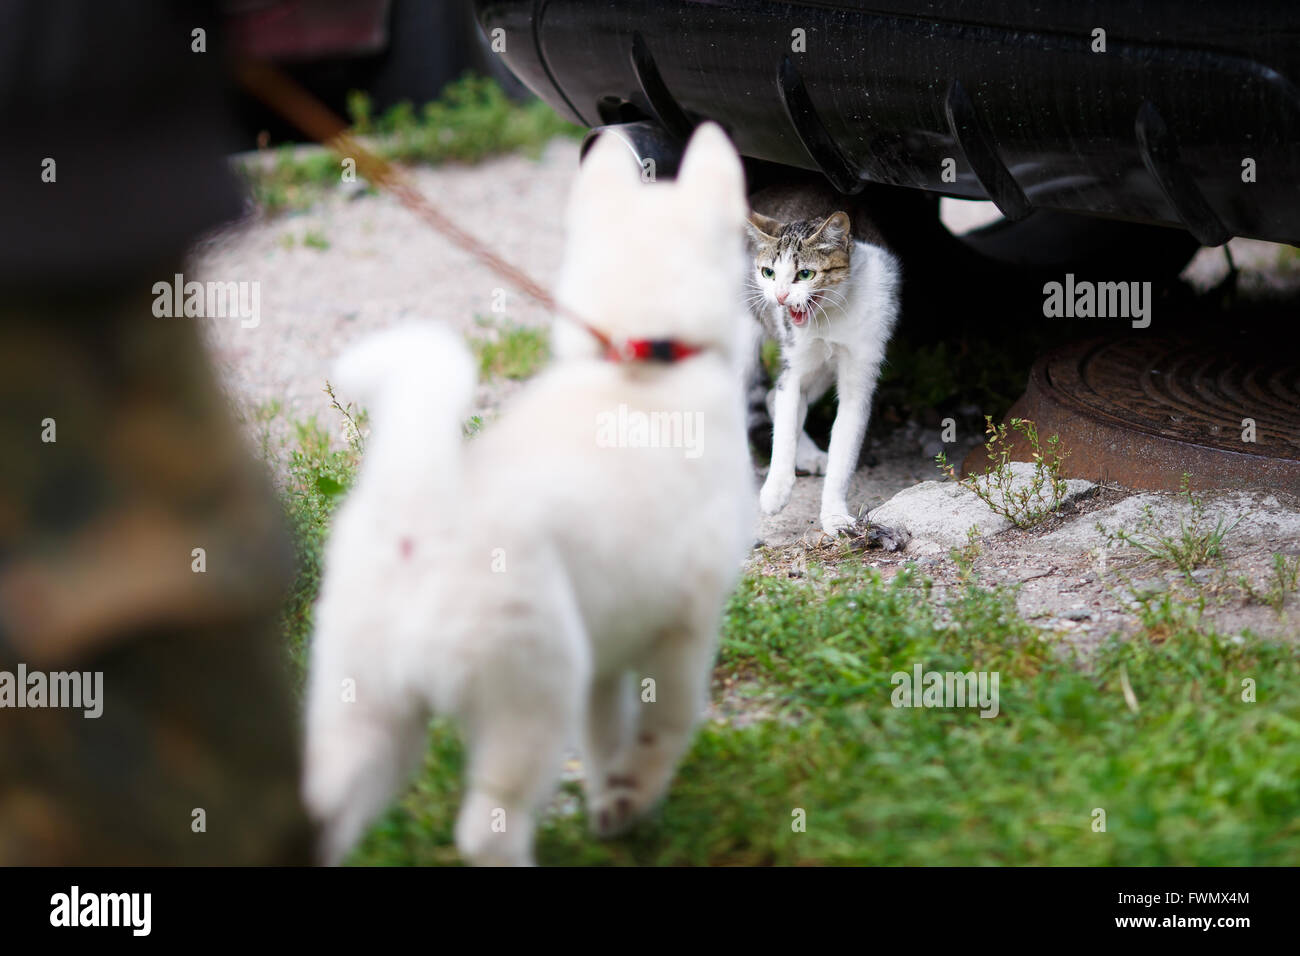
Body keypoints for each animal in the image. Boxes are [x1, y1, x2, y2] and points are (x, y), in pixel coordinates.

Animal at [300, 123, 759, 863]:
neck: (644, 362)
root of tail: (422, 517)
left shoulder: (609, 653)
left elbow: (605, 735)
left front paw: (613, 811)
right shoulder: (684, 625)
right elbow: (665, 725)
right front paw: (635, 794)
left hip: (365, 712)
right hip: (534, 686)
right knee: (489, 823)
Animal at [748, 183, 899, 535]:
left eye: (805, 274)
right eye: (768, 272)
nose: (780, 297)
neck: (832, 316)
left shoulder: (861, 373)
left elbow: (843, 453)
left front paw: (834, 516)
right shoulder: (795, 367)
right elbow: (785, 426)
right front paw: (775, 490)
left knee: (771, 397)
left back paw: (810, 456)